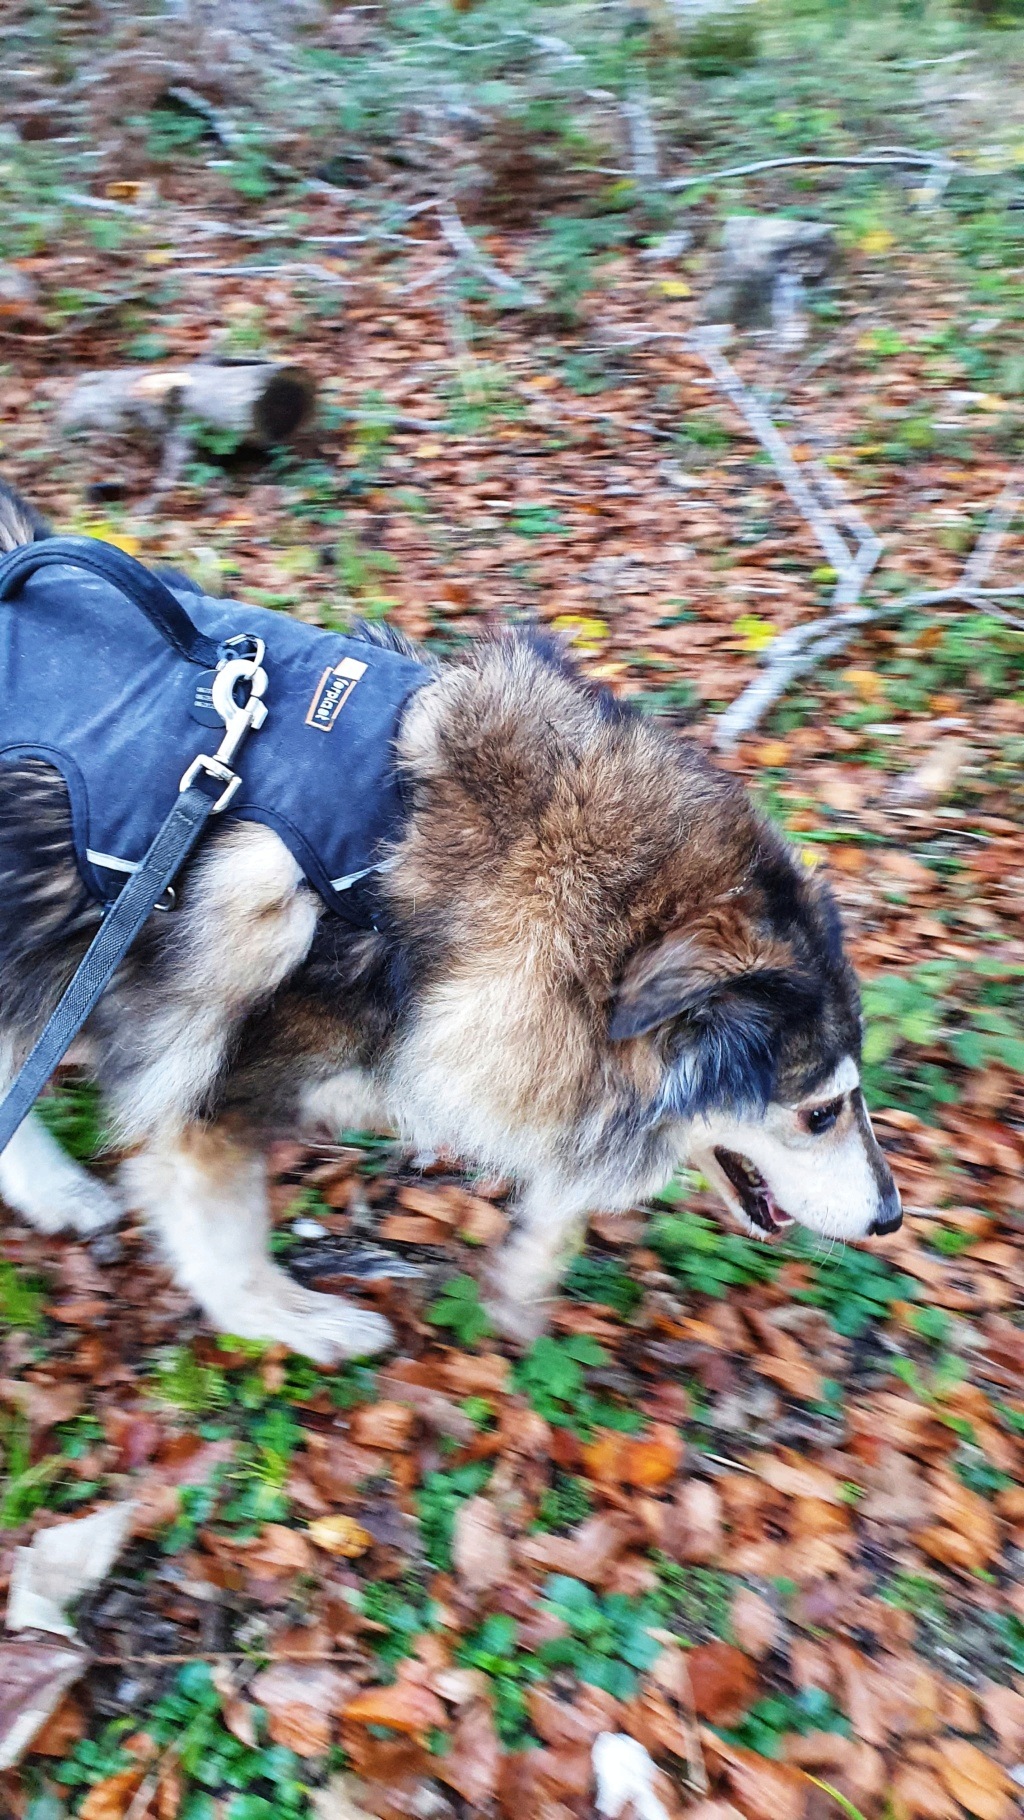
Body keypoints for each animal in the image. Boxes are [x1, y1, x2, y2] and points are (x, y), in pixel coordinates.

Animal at [0, 476, 898, 1361]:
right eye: (820, 1112)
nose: (892, 1219)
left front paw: (522, 1280)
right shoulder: (210, 1094)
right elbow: (226, 1241)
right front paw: (299, 1322)